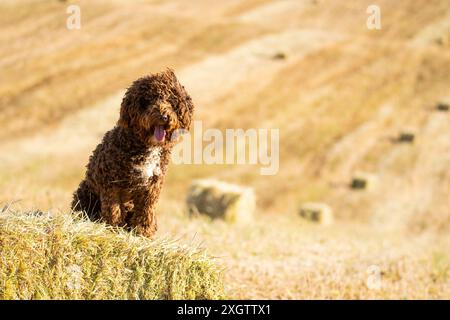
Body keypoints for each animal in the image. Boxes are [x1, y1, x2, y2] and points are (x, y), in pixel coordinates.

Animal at [71, 68, 194, 238]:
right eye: (149, 99)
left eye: (171, 100)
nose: (164, 116)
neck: (147, 146)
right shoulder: (111, 185)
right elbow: (114, 210)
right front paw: (114, 228)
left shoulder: (152, 187)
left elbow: (145, 211)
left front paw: (143, 232)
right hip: (85, 194)